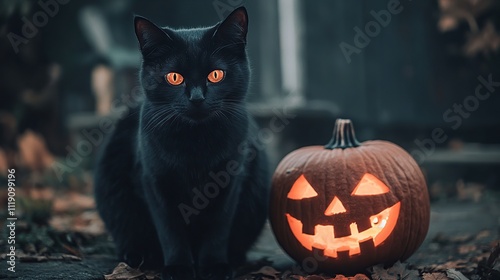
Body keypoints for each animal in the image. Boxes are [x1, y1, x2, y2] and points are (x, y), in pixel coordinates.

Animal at [93, 6, 270, 280]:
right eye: (174, 77)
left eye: (216, 75)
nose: (196, 98)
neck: (194, 144)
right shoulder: (153, 181)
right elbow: (170, 230)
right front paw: (178, 268)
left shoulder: (230, 181)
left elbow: (218, 227)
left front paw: (214, 266)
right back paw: (139, 257)